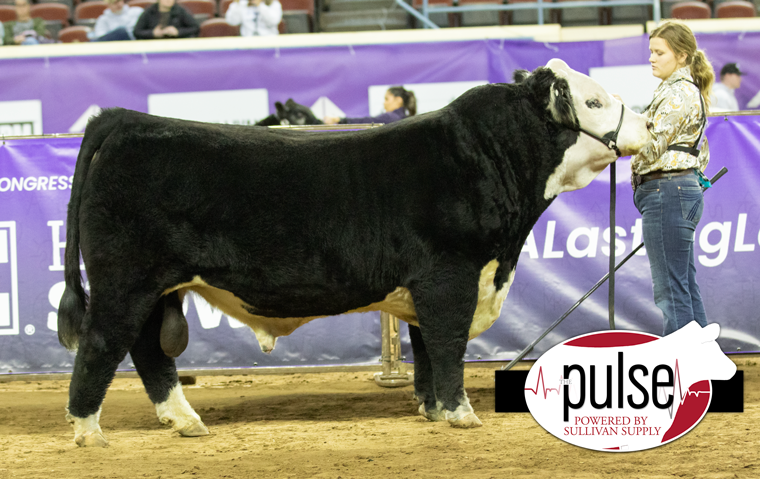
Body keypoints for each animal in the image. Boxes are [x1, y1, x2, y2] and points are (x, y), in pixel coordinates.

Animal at [58, 59, 648, 446]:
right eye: (593, 101)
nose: (644, 124)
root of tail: (122, 119)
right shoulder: (450, 274)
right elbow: (449, 343)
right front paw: (461, 414)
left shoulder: (425, 285)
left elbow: (426, 349)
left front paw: (433, 410)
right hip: (126, 280)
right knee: (103, 344)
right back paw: (88, 431)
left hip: (158, 287)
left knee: (148, 352)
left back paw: (184, 421)